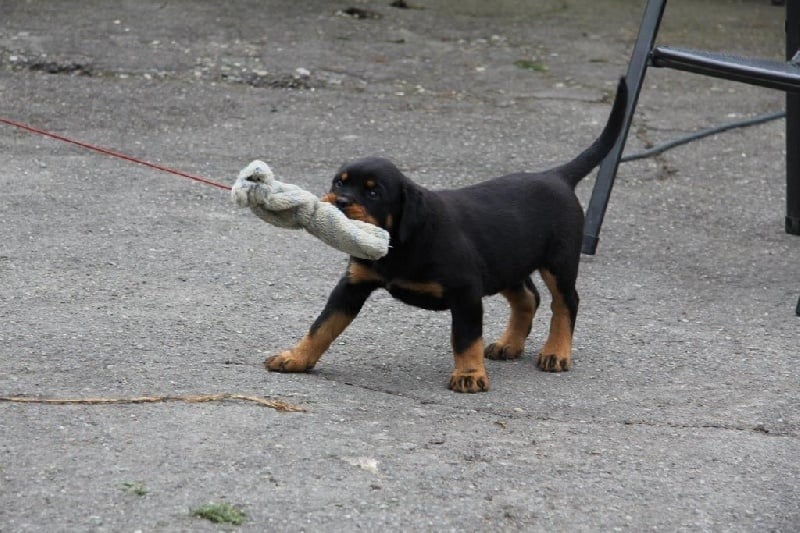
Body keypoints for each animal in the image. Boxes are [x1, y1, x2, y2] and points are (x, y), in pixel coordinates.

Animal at [266, 78, 628, 390]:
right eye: (338, 182)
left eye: (373, 192)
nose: (339, 202)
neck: (401, 243)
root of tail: (557, 176)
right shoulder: (353, 285)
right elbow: (322, 325)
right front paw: (296, 357)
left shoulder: (466, 290)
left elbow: (466, 337)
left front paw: (469, 375)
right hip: (505, 261)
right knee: (529, 297)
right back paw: (509, 344)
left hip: (559, 262)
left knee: (565, 303)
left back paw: (556, 352)